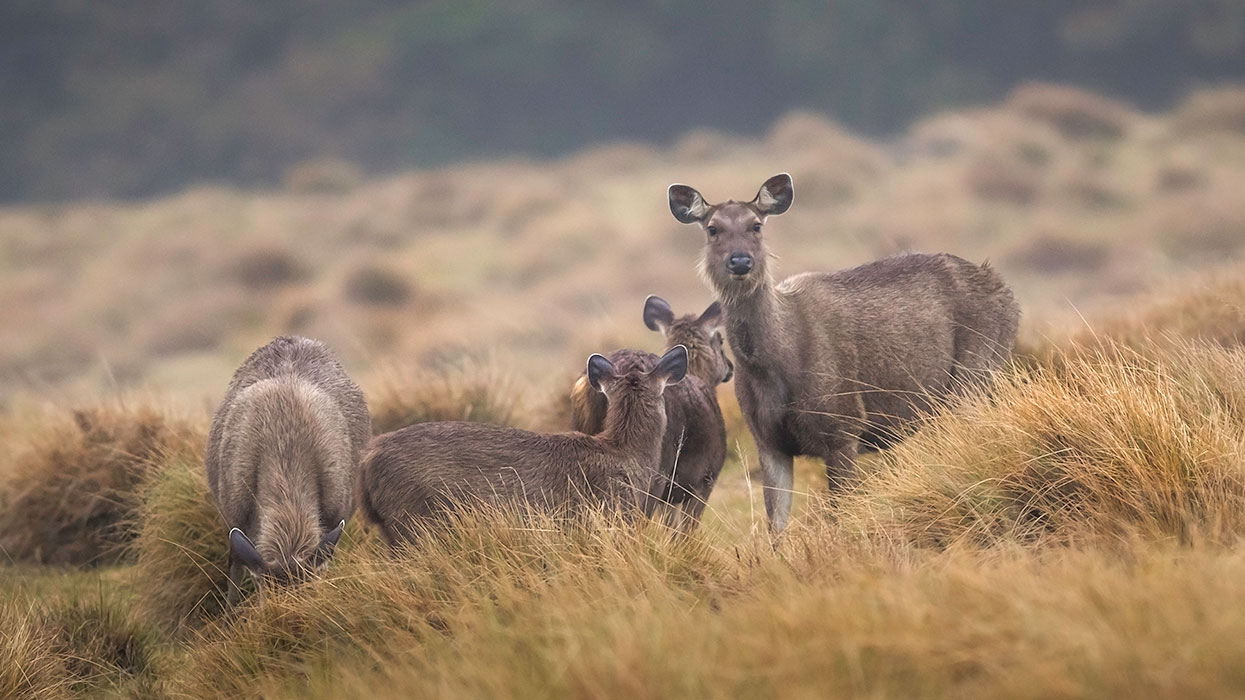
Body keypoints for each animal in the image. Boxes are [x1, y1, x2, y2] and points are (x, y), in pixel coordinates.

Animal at [667, 173, 1015, 528]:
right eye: (713, 228)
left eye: (756, 225)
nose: (740, 261)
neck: (775, 365)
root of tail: (1006, 293)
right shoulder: (767, 440)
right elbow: (776, 525)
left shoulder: (844, 426)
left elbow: (839, 515)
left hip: (976, 371)